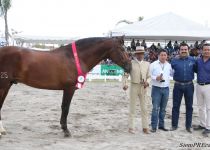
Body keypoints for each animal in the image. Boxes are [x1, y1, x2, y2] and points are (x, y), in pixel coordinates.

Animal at [0, 36, 131, 137]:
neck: (75, 58)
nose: (129, 67)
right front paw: (66, 130)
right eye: (122, 49)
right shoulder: (69, 89)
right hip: (3, 85)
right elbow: (65, 108)